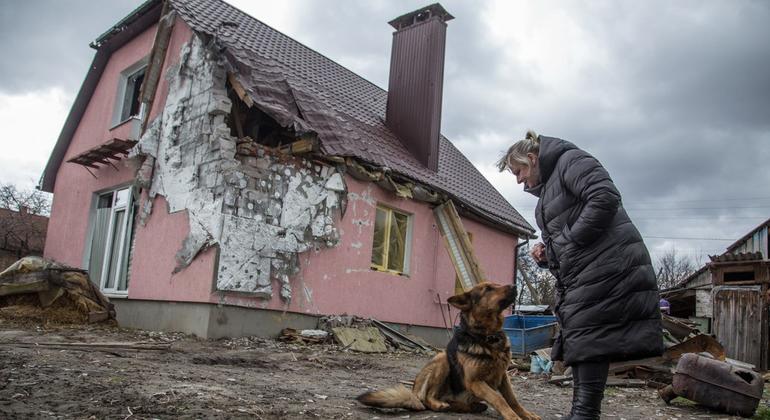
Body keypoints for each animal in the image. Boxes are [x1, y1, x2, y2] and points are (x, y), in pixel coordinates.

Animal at [356, 282, 540, 420]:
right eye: (488, 289)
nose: (514, 285)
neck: (487, 336)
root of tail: (414, 393)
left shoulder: (503, 377)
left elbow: (513, 399)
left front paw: (526, 414)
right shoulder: (475, 382)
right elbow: (499, 398)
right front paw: (512, 416)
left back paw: (470, 406)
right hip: (442, 359)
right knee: (428, 398)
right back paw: (439, 404)